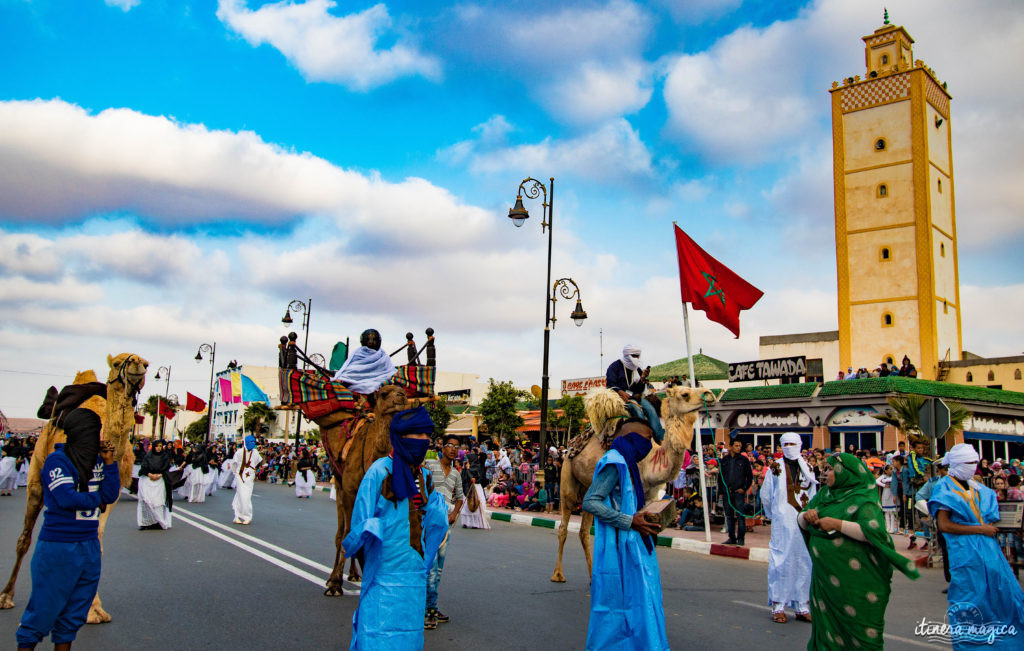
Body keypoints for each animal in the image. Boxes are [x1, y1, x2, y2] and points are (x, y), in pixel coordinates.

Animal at [0, 354, 148, 622]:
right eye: (117, 362)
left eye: (147, 364)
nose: (137, 364)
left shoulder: (108, 499)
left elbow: (96, 544)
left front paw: (94, 609)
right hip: (37, 476)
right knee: (25, 537)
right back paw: (6, 597)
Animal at [552, 386, 712, 585]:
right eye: (685, 394)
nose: (708, 394)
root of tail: (572, 445)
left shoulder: (651, 495)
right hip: (567, 478)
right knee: (563, 526)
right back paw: (558, 575)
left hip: (589, 486)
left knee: (584, 531)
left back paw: (592, 578)